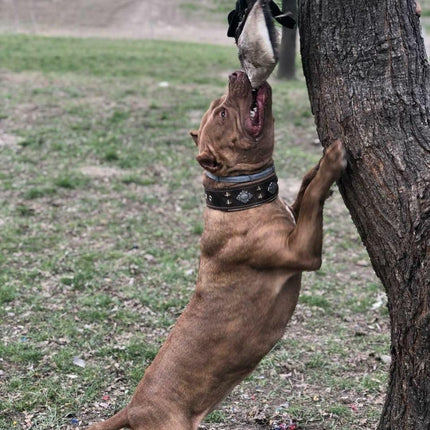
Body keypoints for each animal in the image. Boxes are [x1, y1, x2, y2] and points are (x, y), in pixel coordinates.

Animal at [86, 70, 346, 430]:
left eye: (217, 106)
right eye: (223, 114)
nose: (235, 73)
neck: (239, 196)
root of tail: (132, 407)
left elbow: (304, 192)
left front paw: (315, 167)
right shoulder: (302, 252)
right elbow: (312, 199)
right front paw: (332, 162)